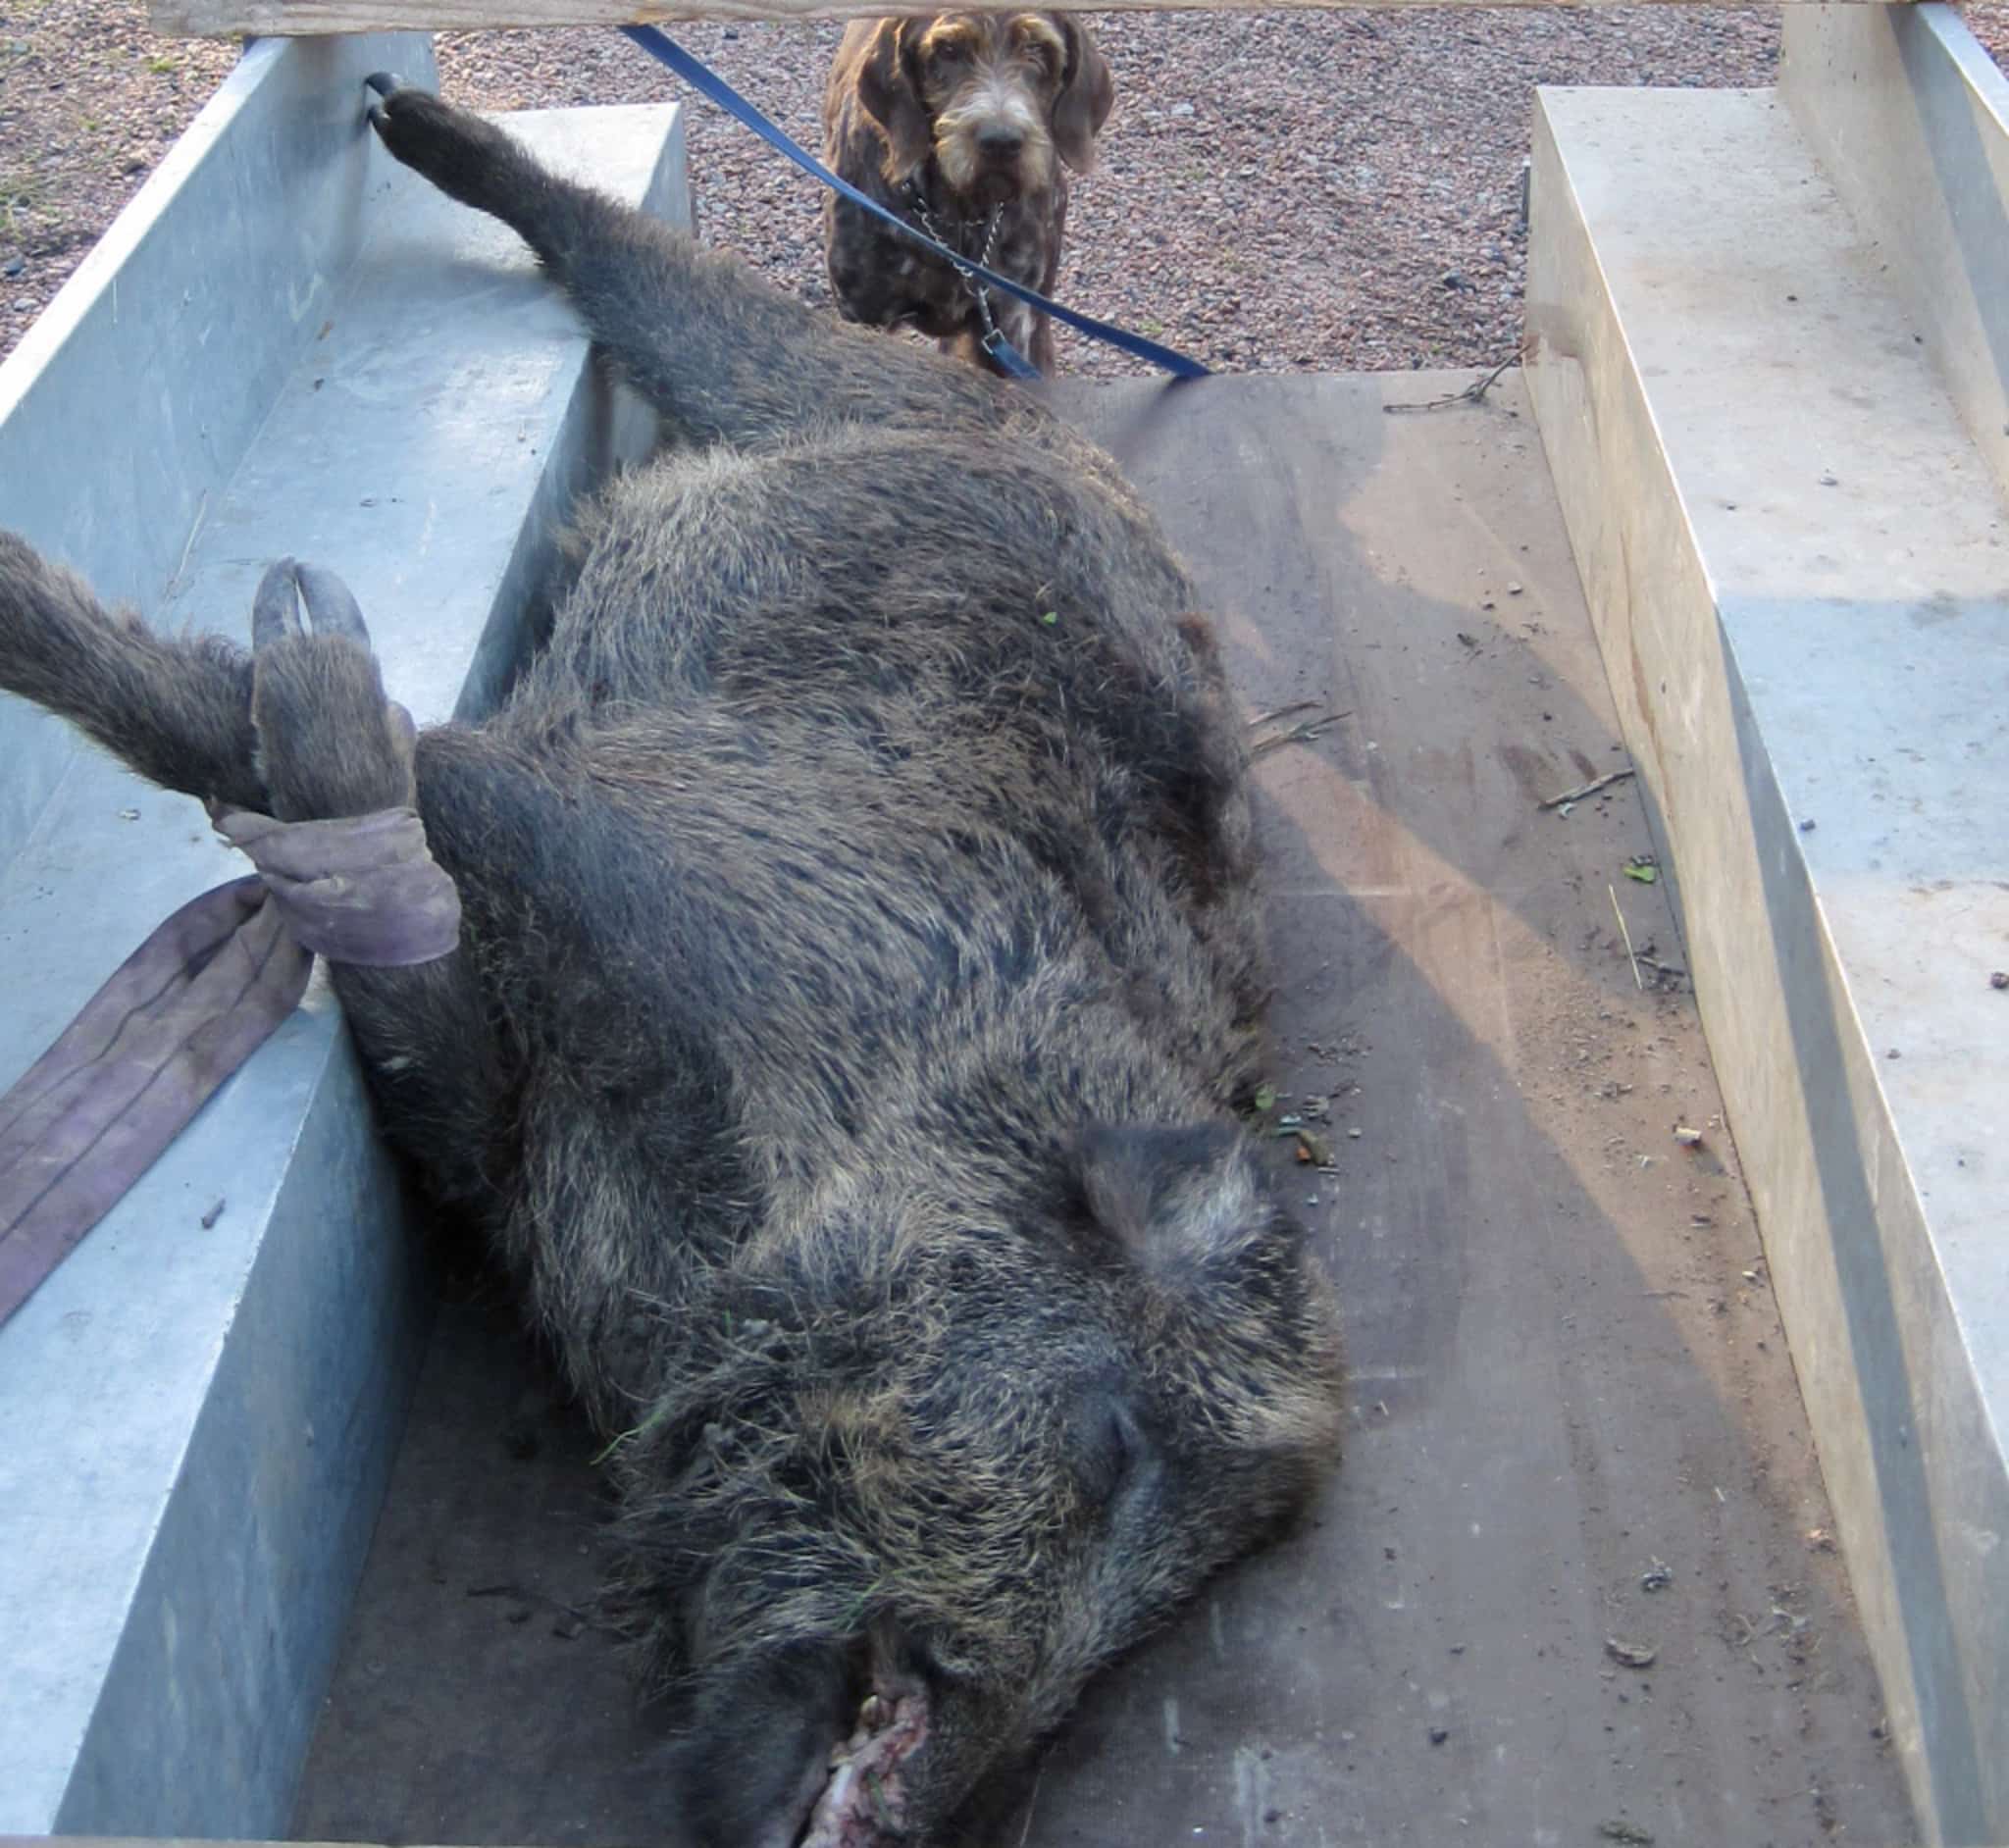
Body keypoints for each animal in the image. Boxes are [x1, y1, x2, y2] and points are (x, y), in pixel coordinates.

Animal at [823, 11, 1124, 375]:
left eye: (1037, 48)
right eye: (948, 49)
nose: (1001, 142)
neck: (956, 215)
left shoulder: (1010, 319)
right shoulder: (864, 312)